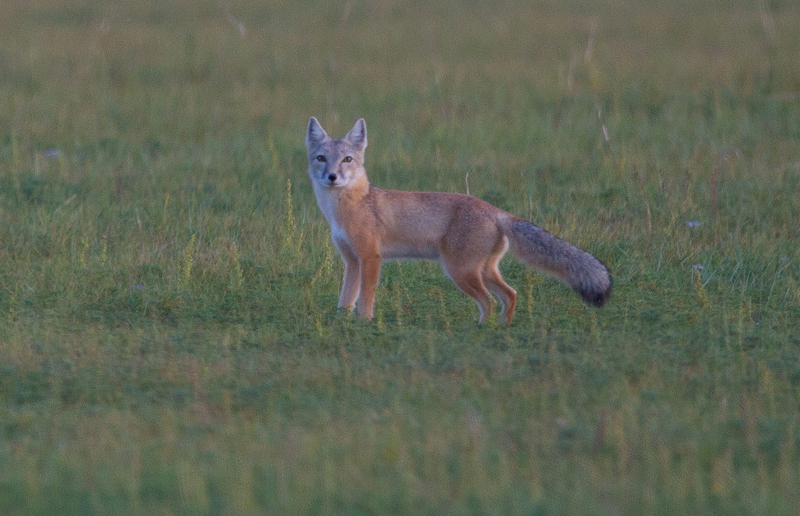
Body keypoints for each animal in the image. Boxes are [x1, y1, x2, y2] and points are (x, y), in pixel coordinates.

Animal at [305, 117, 612, 325]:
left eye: (347, 159)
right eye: (321, 158)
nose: (332, 177)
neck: (348, 207)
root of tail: (495, 210)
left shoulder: (370, 257)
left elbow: (365, 298)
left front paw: (363, 324)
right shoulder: (352, 261)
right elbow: (345, 299)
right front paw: (341, 324)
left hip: (460, 272)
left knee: (489, 302)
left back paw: (483, 330)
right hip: (482, 271)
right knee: (510, 295)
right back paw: (503, 329)